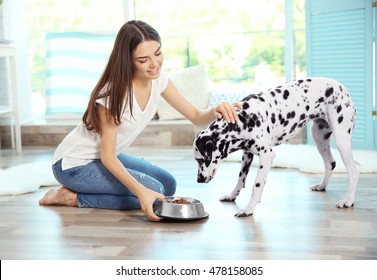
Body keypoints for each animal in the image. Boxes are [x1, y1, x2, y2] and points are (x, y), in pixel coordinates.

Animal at [194, 77, 358, 218]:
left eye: (200, 160)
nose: (198, 180)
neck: (244, 119)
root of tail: (341, 87)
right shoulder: (247, 154)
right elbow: (240, 179)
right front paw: (232, 195)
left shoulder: (267, 156)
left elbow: (257, 185)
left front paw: (249, 208)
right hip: (319, 138)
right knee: (331, 163)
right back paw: (322, 186)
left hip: (341, 140)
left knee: (353, 172)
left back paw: (348, 201)